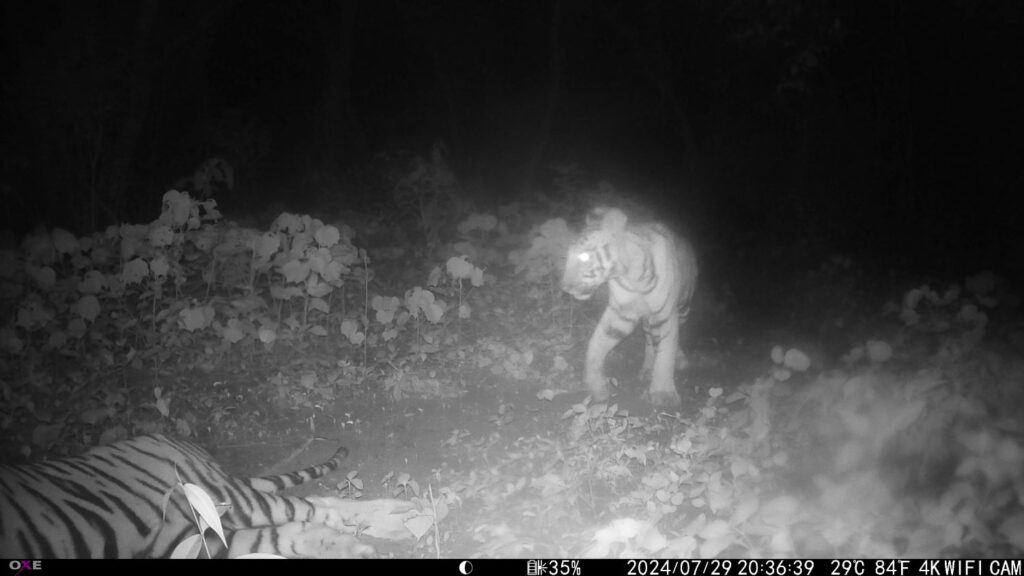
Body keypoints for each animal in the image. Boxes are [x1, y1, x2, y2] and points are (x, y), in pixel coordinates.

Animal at [561, 204, 696, 403]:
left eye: (584, 257)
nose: (564, 287)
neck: (630, 276)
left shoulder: (664, 314)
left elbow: (666, 352)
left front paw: (663, 393)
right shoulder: (621, 314)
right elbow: (595, 345)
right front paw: (596, 386)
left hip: (683, 306)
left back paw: (679, 360)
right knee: (650, 338)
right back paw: (647, 369)